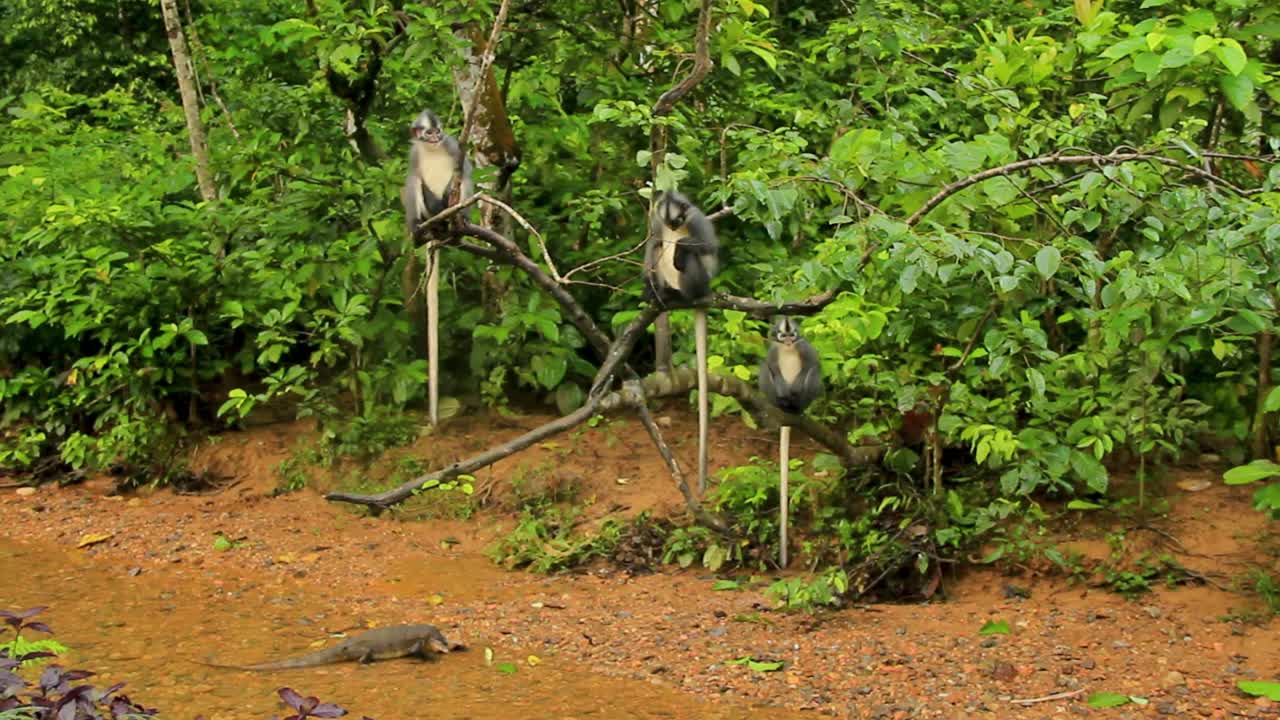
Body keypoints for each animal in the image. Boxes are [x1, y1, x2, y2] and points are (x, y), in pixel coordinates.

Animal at [643, 190, 720, 492]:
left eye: (678, 220)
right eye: (669, 221)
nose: (674, 227)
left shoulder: (696, 219)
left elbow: (708, 249)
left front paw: (683, 244)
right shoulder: (656, 221)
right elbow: (652, 243)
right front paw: (647, 282)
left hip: (698, 283)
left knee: (688, 256)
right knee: (658, 249)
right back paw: (660, 293)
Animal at [757, 315, 823, 569]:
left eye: (792, 334)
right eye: (782, 334)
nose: (787, 341)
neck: (787, 348)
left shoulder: (804, 347)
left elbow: (811, 364)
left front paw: (794, 391)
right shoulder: (773, 350)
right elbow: (772, 367)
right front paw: (784, 391)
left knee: (814, 371)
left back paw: (796, 406)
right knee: (764, 369)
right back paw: (782, 403)